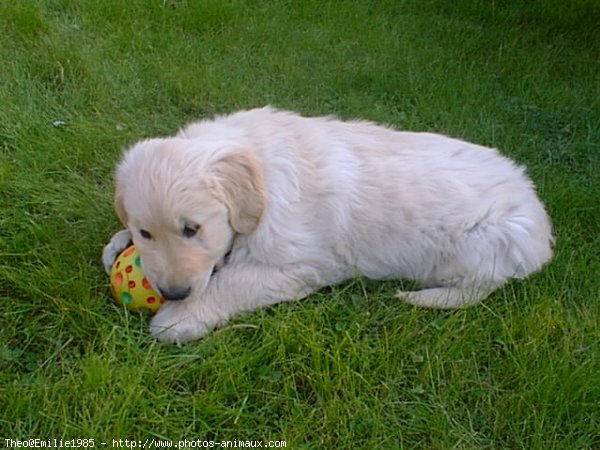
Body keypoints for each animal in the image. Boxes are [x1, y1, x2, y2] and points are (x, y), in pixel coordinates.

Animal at [102, 107, 552, 342]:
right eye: (146, 233)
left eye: (192, 229)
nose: (172, 292)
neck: (261, 182)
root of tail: (540, 217)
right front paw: (118, 243)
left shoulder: (301, 265)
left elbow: (232, 282)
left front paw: (178, 319)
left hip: (484, 246)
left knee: (480, 287)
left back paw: (422, 297)